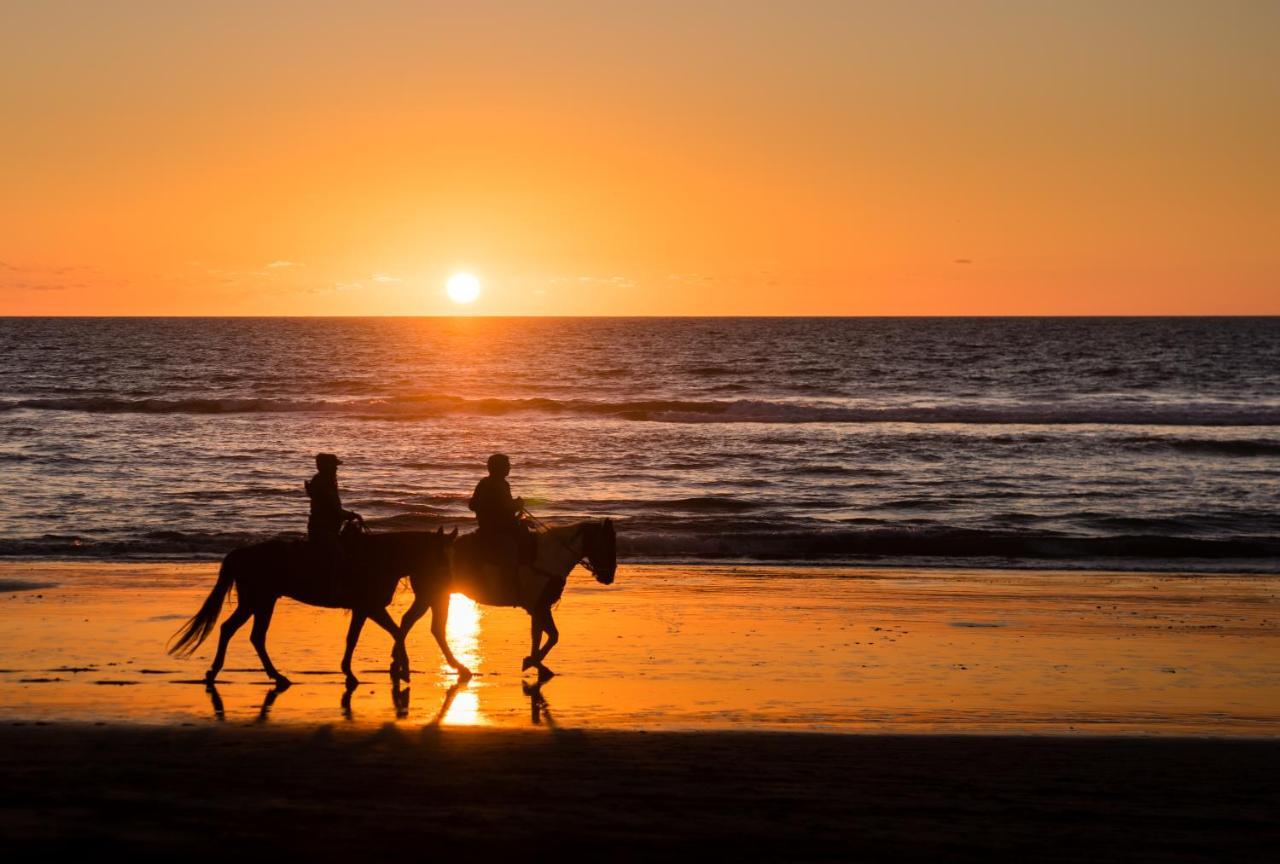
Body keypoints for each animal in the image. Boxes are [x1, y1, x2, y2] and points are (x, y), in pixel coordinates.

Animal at [167, 527, 453, 691]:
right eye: (440, 554)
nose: (445, 581)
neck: (380, 558)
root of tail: (241, 553)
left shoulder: (363, 609)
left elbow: (356, 638)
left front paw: (352, 671)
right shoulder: (370, 607)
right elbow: (395, 632)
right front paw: (402, 669)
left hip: (259, 602)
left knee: (238, 632)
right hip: (259, 601)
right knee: (246, 634)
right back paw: (265, 675)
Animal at [401, 519, 616, 680]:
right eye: (607, 543)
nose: (609, 577)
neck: (552, 555)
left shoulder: (538, 607)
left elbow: (541, 635)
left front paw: (536, 663)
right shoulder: (539, 607)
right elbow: (552, 636)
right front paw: (532, 662)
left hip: (437, 597)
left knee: (428, 627)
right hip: (430, 596)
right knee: (414, 623)